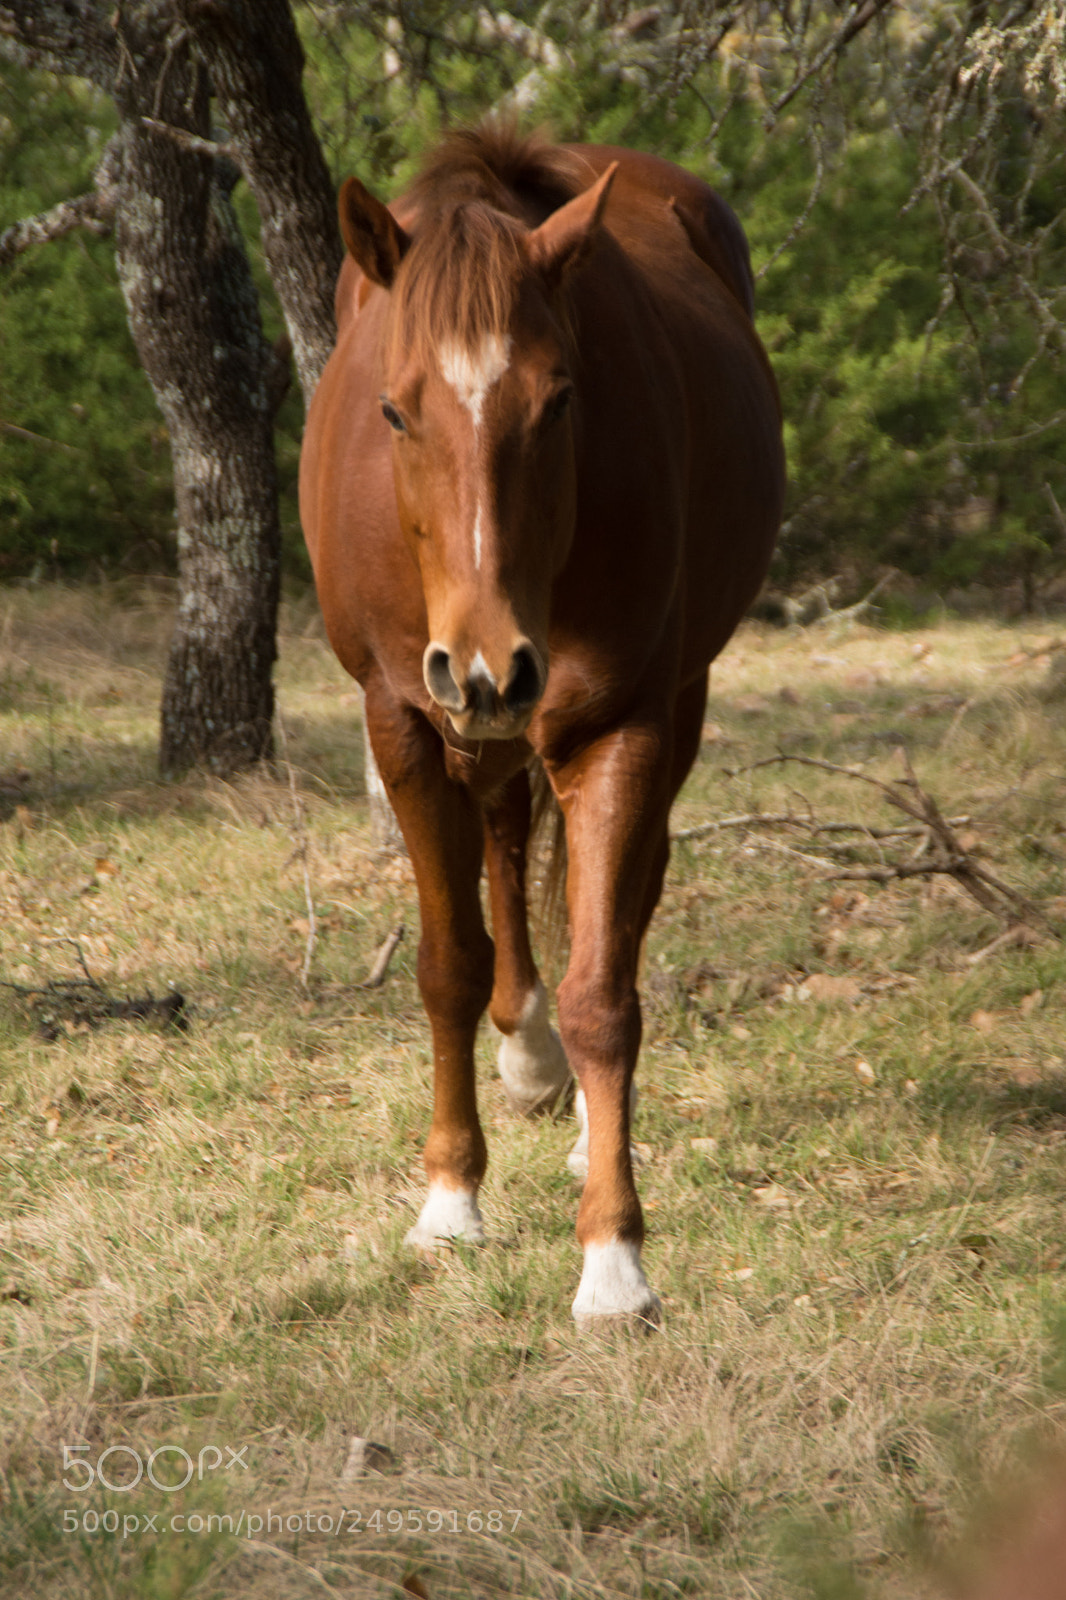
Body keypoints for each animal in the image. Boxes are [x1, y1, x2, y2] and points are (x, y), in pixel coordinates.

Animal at [299, 124, 784, 1326]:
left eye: (560, 399)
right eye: (394, 410)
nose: (488, 665)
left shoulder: (621, 721)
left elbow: (605, 987)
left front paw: (614, 1259)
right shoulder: (406, 723)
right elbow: (447, 966)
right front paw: (448, 1200)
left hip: (656, 703)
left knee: (624, 892)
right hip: (475, 727)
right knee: (509, 847)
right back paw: (525, 1055)